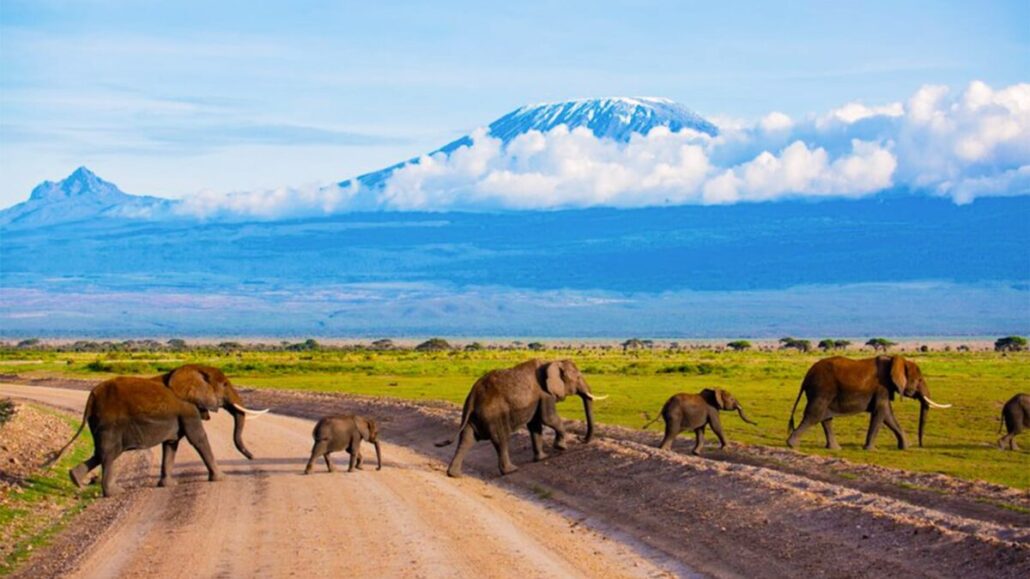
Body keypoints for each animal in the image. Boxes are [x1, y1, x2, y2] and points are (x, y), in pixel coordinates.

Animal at [438, 358, 605, 475]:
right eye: (578, 377)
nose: (580, 439)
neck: (553, 361)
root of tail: (473, 395)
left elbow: (535, 426)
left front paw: (542, 458)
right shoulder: (545, 394)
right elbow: (548, 418)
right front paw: (561, 447)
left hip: (474, 415)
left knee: (466, 439)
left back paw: (454, 474)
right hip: (492, 415)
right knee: (501, 440)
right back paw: (511, 470)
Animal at [786, 352, 947, 451]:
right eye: (919, 380)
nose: (921, 446)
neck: (894, 360)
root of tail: (806, 377)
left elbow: (888, 415)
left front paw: (906, 447)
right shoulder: (882, 387)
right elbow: (881, 412)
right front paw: (871, 450)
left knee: (825, 418)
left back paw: (835, 448)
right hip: (822, 390)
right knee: (814, 415)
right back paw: (792, 445)